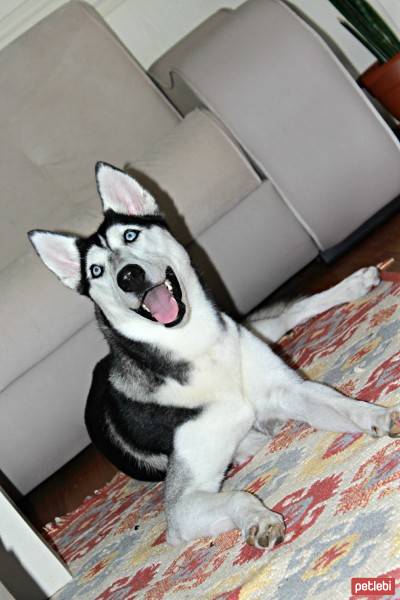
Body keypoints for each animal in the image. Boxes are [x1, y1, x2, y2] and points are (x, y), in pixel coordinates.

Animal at [28, 163, 400, 548]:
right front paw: (258, 518)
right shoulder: (181, 506)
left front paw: (378, 415)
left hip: (252, 334)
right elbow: (236, 496)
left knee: (280, 317)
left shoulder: (289, 390)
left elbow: (339, 401)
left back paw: (356, 283)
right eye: (96, 271)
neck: (197, 347)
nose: (128, 275)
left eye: (130, 236)